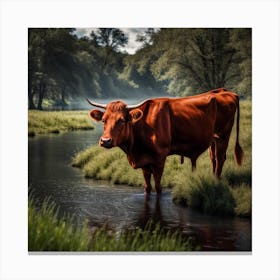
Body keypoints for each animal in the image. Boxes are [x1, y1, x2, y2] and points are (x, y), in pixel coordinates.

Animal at [87, 94, 217, 195]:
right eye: (103, 120)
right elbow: (147, 187)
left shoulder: (160, 159)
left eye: (122, 120)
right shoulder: (145, 163)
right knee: (214, 161)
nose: (105, 140)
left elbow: (158, 187)